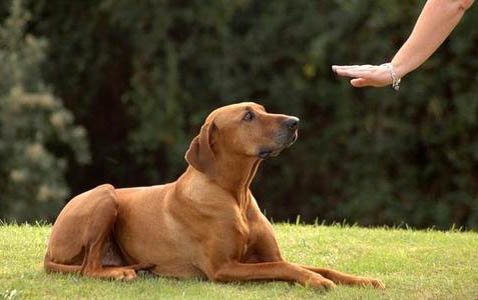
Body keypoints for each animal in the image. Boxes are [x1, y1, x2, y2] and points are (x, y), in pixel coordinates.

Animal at [43, 102, 382, 290]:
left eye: (262, 109)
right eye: (248, 116)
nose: (294, 121)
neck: (236, 195)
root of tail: (49, 248)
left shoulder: (269, 255)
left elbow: (315, 266)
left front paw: (362, 280)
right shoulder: (224, 268)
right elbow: (285, 268)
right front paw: (316, 282)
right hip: (105, 194)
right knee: (88, 269)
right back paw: (120, 274)